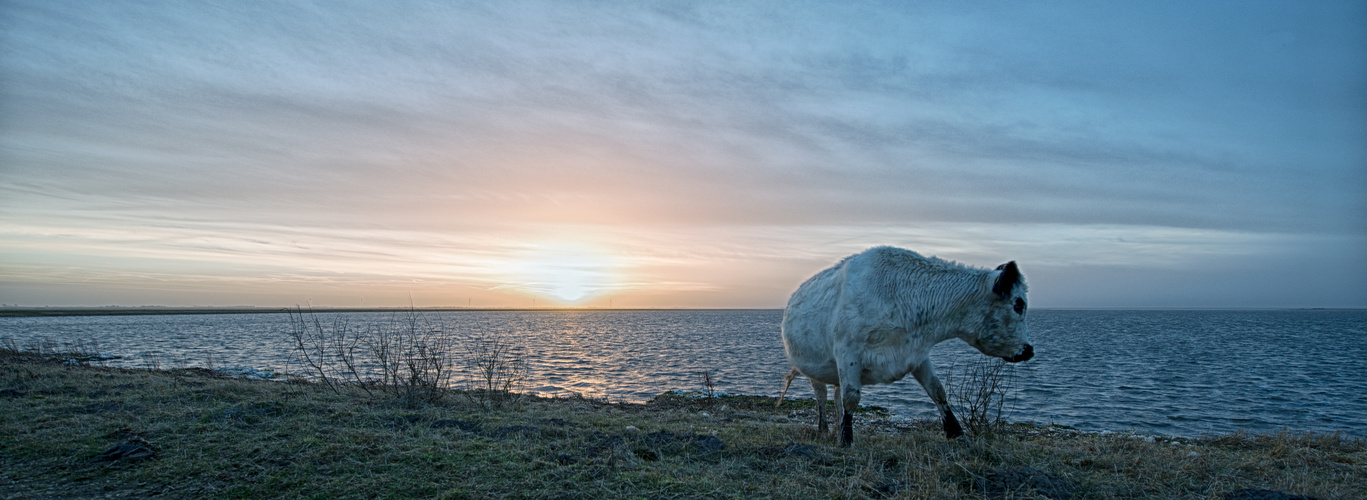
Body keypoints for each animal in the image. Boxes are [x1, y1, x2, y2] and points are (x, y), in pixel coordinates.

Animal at [776, 245, 1027, 445]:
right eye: (1019, 304)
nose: (1029, 350)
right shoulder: (848, 353)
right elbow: (851, 397)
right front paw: (846, 441)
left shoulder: (916, 353)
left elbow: (938, 391)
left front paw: (956, 433)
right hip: (813, 368)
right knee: (822, 395)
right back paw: (825, 429)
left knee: (836, 396)